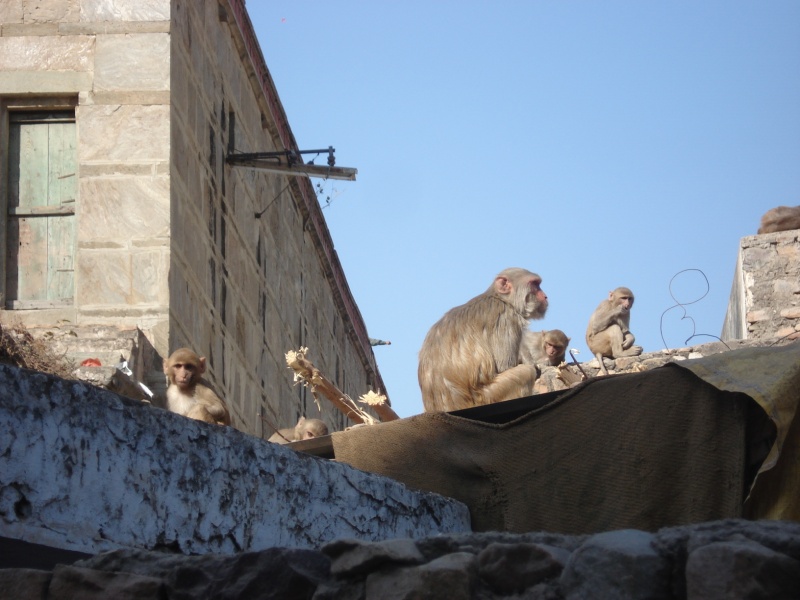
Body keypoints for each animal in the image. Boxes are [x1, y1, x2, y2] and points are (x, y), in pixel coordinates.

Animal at [418, 267, 548, 412]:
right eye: (535, 284)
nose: (545, 296)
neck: (500, 298)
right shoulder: (505, 317)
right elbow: (505, 366)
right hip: (489, 397)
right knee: (526, 372)